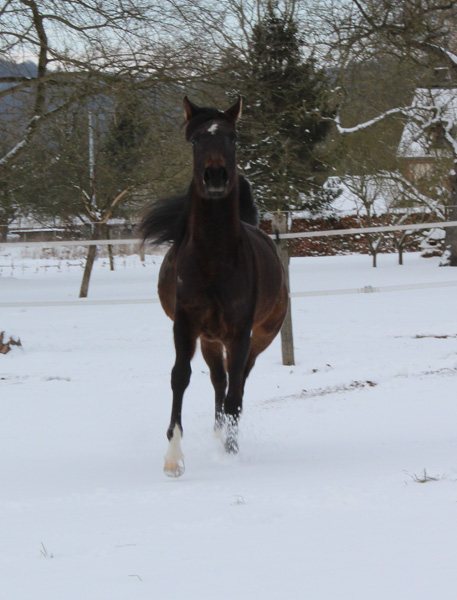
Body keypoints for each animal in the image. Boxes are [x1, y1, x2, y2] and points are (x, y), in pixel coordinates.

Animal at [141, 96, 286, 476]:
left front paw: (231, 453)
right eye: (195, 140)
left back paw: (227, 438)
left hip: (258, 337)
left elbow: (236, 394)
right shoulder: (186, 326)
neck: (214, 259)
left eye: (233, 138)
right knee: (218, 381)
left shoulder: (239, 332)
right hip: (209, 339)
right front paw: (173, 457)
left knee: (238, 383)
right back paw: (218, 432)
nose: (216, 176)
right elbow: (180, 377)